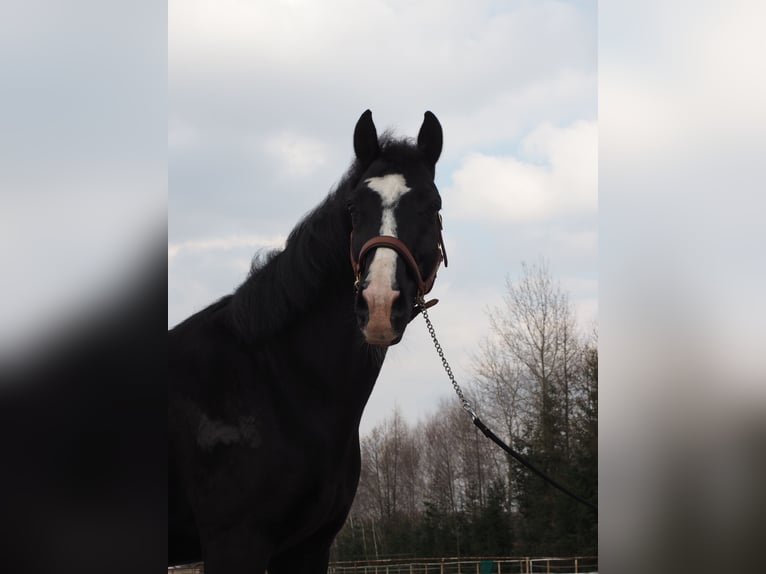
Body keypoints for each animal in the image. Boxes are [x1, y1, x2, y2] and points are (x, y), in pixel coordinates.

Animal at [168, 110, 446, 573]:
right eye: (353, 208)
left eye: (433, 206)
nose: (378, 304)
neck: (275, 382)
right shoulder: (235, 543)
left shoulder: (309, 545)